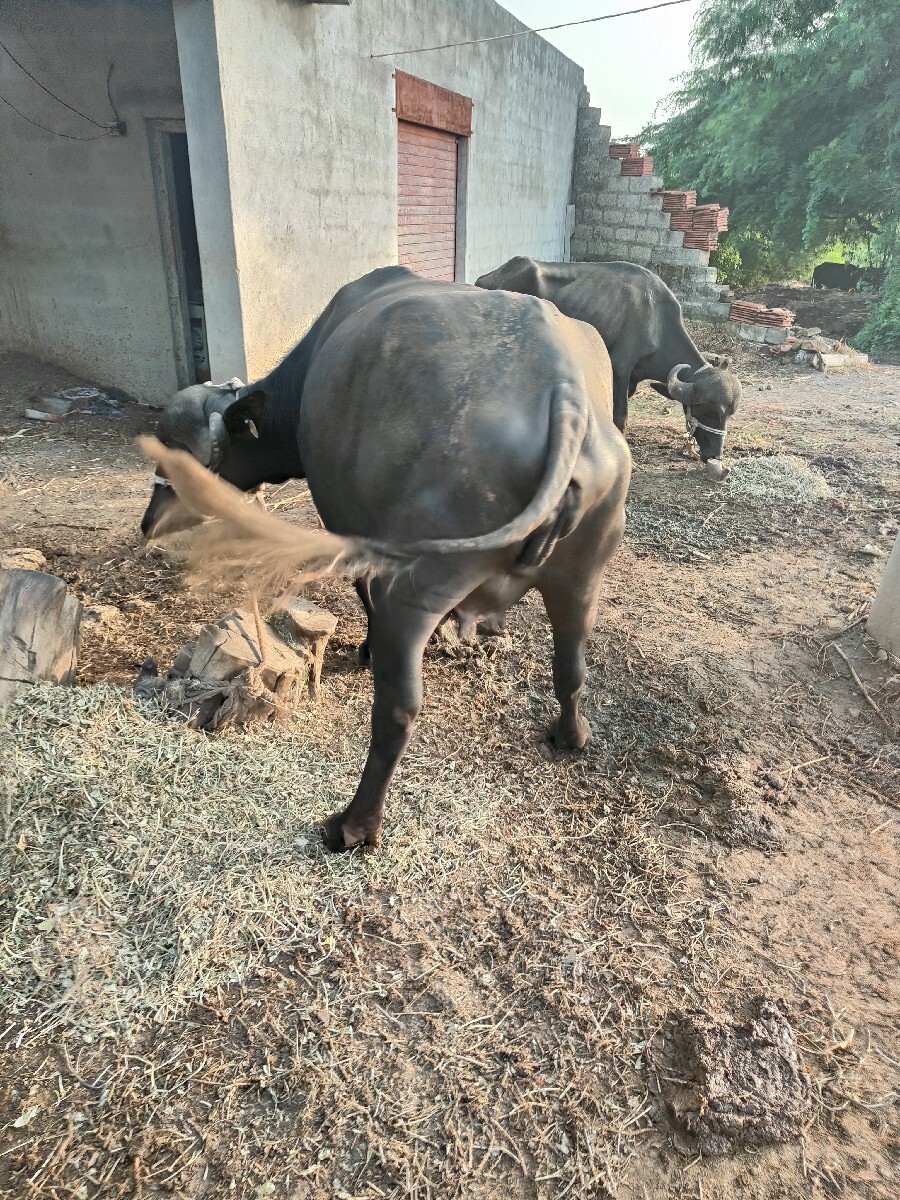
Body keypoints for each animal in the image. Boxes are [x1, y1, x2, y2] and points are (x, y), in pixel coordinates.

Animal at [142, 267, 631, 851]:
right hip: (583, 576)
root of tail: (565, 395)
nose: (148, 522)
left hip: (412, 592)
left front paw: (367, 649)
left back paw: (353, 825)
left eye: (179, 462)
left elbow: (363, 594)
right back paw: (569, 734)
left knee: (398, 710)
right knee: (572, 664)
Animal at [475, 257, 742, 481]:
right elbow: (620, 416)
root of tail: (486, 278)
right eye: (707, 410)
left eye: (729, 414)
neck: (656, 321)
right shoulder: (620, 368)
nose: (716, 460)